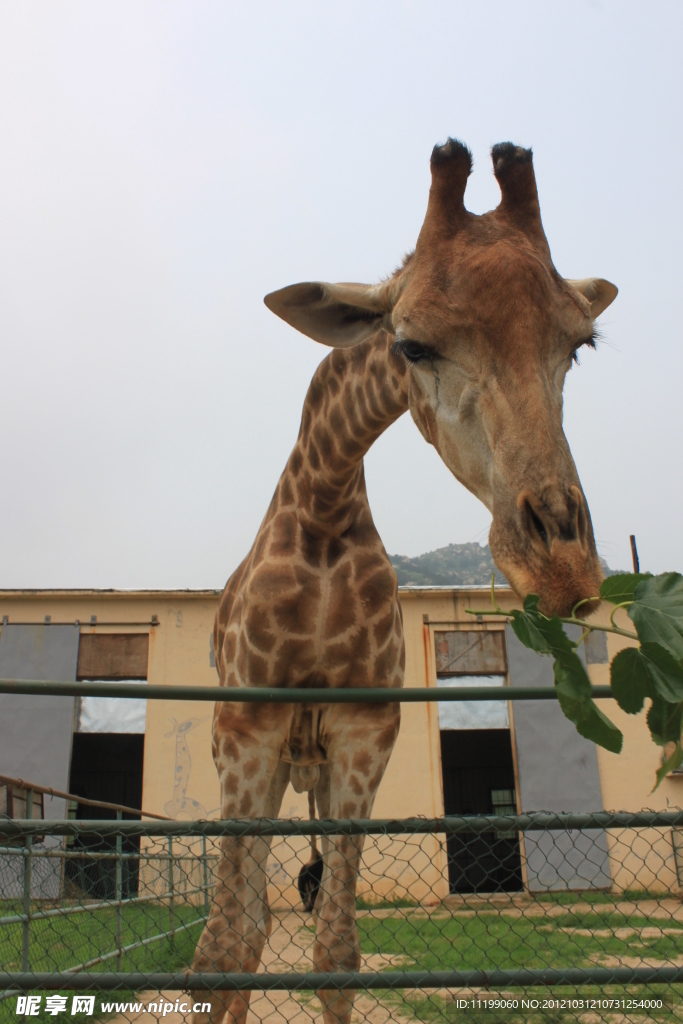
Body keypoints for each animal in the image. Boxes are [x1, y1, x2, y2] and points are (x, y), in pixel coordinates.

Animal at [189, 142, 618, 1024]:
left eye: (579, 345)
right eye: (412, 346)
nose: (560, 568)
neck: (323, 513)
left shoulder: (364, 730)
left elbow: (336, 952)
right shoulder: (248, 728)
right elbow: (221, 949)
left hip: (310, 768)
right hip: (248, 757)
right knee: (239, 928)